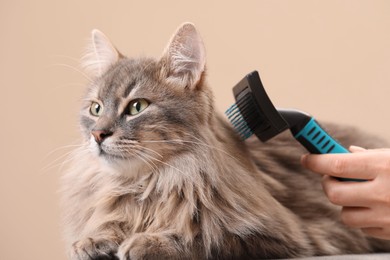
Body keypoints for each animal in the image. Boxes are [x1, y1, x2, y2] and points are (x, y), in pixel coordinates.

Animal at [61, 22, 390, 260]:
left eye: (136, 107)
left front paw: (148, 243)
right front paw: (96, 240)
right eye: (95, 109)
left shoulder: (285, 234)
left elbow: (206, 238)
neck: (150, 183)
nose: (98, 134)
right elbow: (110, 223)